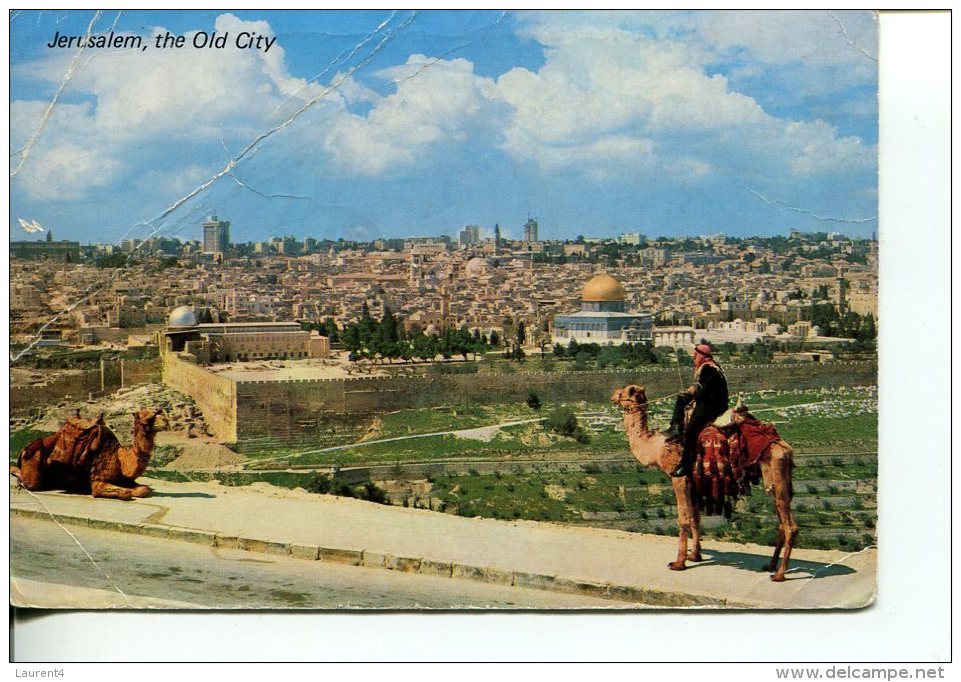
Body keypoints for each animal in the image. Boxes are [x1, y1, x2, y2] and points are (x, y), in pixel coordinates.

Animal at [616, 382, 796, 580]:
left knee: (790, 526)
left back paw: (779, 574)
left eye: (625, 391)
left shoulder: (679, 479)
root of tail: (785, 448)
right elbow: (695, 517)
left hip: (777, 468)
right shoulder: (694, 482)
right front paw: (695, 555)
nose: (613, 395)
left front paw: (678, 563)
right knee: (782, 521)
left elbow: (683, 519)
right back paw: (770, 566)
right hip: (776, 478)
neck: (656, 447)